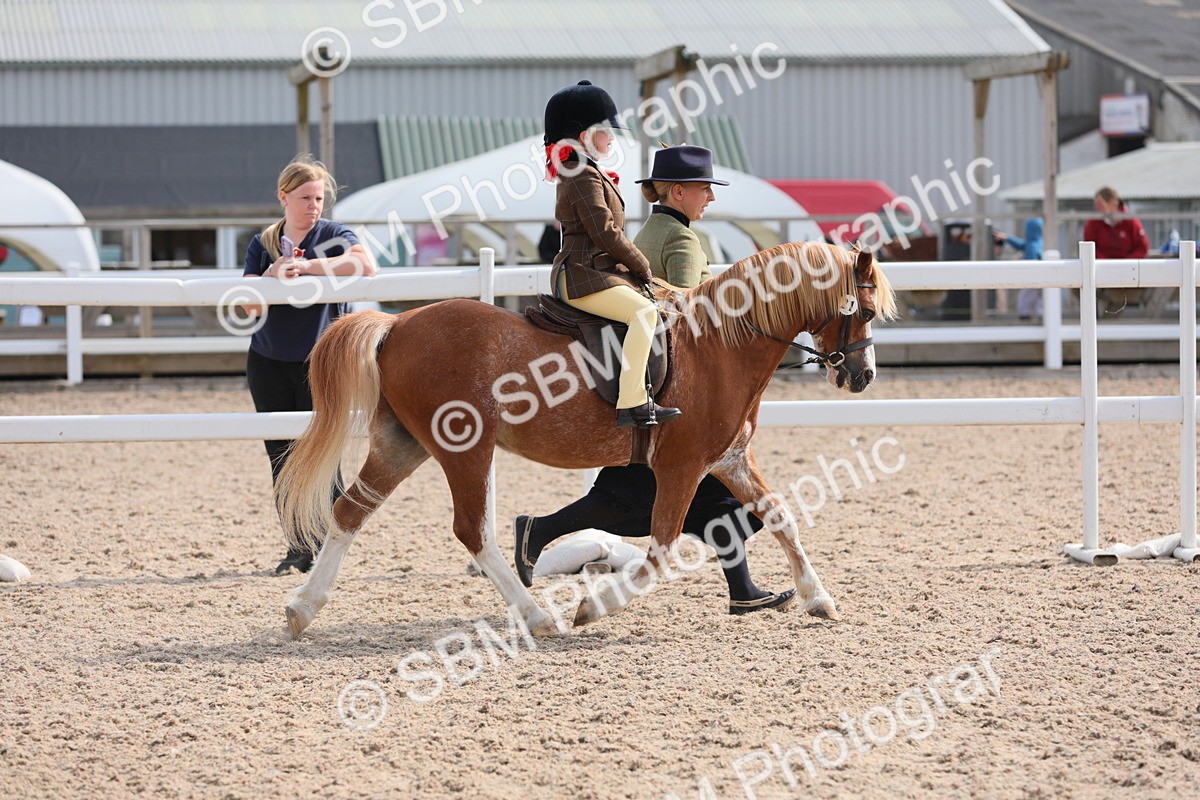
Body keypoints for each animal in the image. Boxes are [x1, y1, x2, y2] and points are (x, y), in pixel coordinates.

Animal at [276, 241, 895, 639]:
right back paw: (538, 617)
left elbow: (780, 517)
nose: (862, 377)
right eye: (864, 309)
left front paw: (818, 598)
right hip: (463, 450)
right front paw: (593, 610)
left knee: (350, 513)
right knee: (473, 531)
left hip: (404, 444)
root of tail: (398, 324)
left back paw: (303, 611)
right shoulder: (682, 466)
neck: (719, 342)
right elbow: (660, 550)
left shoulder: (730, 458)